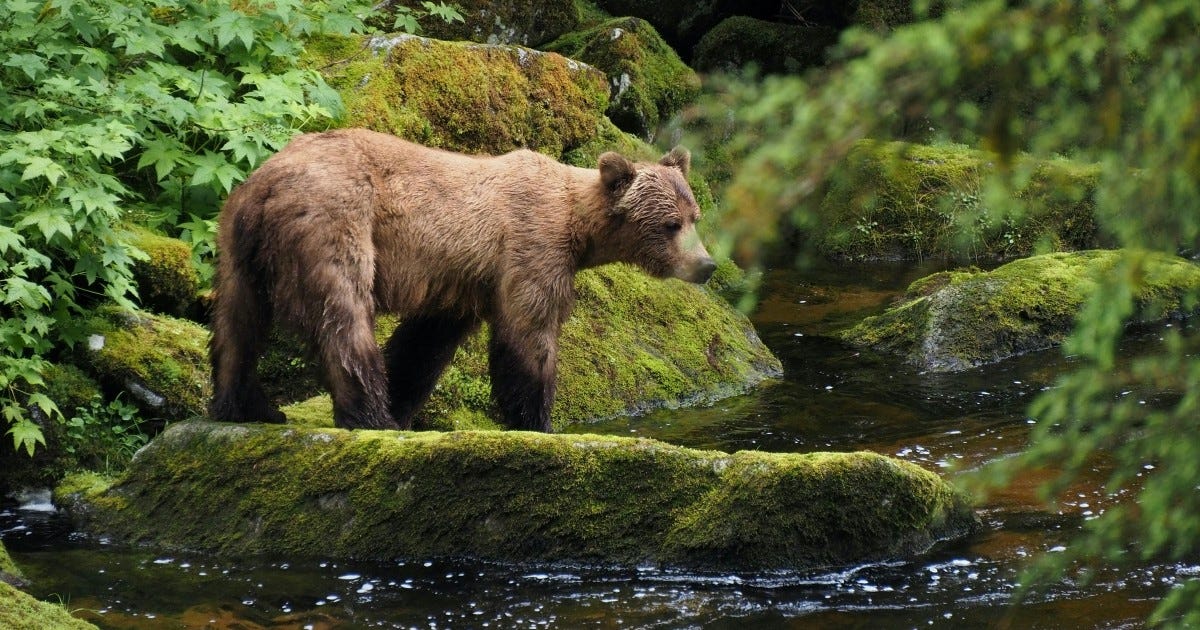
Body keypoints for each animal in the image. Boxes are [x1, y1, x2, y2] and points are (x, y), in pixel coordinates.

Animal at [208, 128, 715, 432]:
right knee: (344, 314)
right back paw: (370, 415)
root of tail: (267, 183)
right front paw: (537, 419)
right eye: (671, 224)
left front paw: (404, 399)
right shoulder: (530, 248)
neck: (578, 225)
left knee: (237, 324)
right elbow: (529, 333)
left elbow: (423, 344)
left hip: (238, 241)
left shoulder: (462, 281)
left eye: (695, 216)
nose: (707, 265)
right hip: (335, 220)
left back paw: (246, 406)